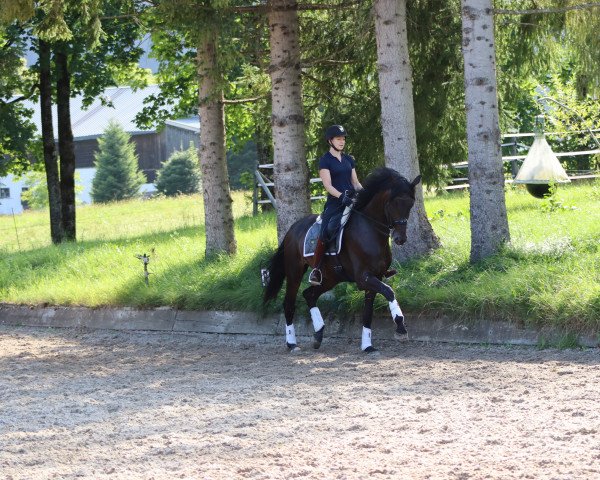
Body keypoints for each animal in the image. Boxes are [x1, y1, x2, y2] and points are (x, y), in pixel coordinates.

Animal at [262, 168, 422, 352]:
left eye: (410, 204)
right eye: (393, 203)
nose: (400, 239)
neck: (370, 230)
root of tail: (293, 229)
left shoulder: (376, 277)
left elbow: (368, 313)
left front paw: (367, 346)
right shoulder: (364, 277)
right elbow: (389, 291)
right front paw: (400, 327)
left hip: (331, 278)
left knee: (309, 294)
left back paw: (318, 334)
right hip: (295, 272)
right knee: (289, 303)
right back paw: (292, 344)